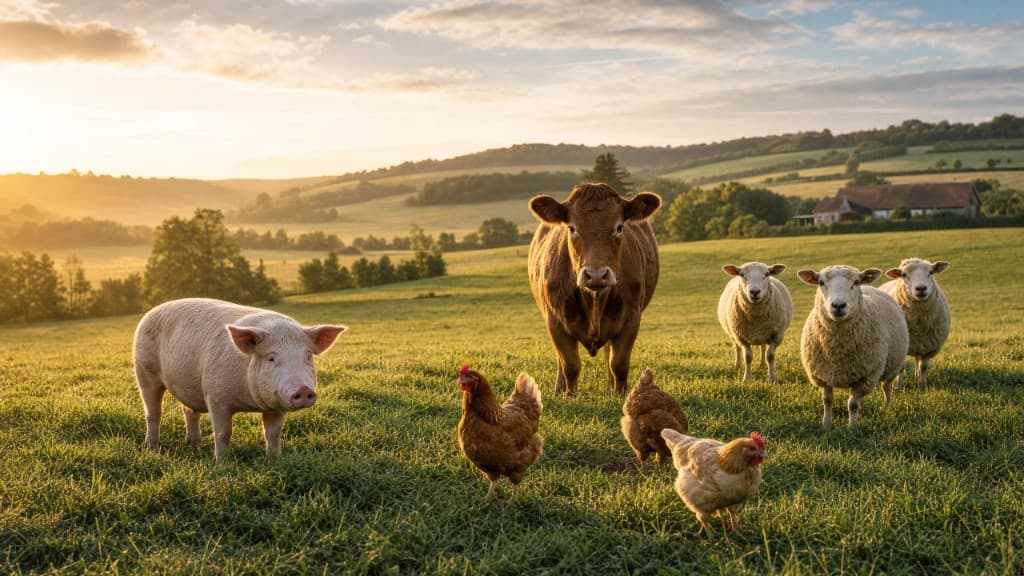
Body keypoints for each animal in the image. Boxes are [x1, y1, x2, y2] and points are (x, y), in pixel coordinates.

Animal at [132, 298, 346, 462]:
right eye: (271, 358)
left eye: (308, 356)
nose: (303, 390)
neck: (249, 403)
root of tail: (151, 311)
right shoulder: (215, 396)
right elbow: (223, 433)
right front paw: (222, 464)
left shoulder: (277, 405)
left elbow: (273, 433)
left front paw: (274, 460)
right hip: (144, 371)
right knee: (153, 413)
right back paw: (152, 448)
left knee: (189, 411)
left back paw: (193, 445)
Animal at [797, 265, 909, 431]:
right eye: (821, 282)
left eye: (856, 282)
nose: (838, 305)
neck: (838, 350)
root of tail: (871, 287)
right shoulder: (823, 377)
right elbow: (827, 401)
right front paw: (826, 425)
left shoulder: (866, 377)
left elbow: (853, 404)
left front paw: (851, 428)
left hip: (892, 367)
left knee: (887, 388)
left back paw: (887, 408)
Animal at [880, 258, 950, 388]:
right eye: (904, 275)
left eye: (931, 272)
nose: (921, 288)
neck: (919, 324)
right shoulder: (902, 346)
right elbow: (901, 368)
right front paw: (899, 386)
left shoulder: (928, 347)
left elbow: (923, 366)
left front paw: (922, 385)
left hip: (920, 345)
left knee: (918, 359)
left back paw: (917, 375)